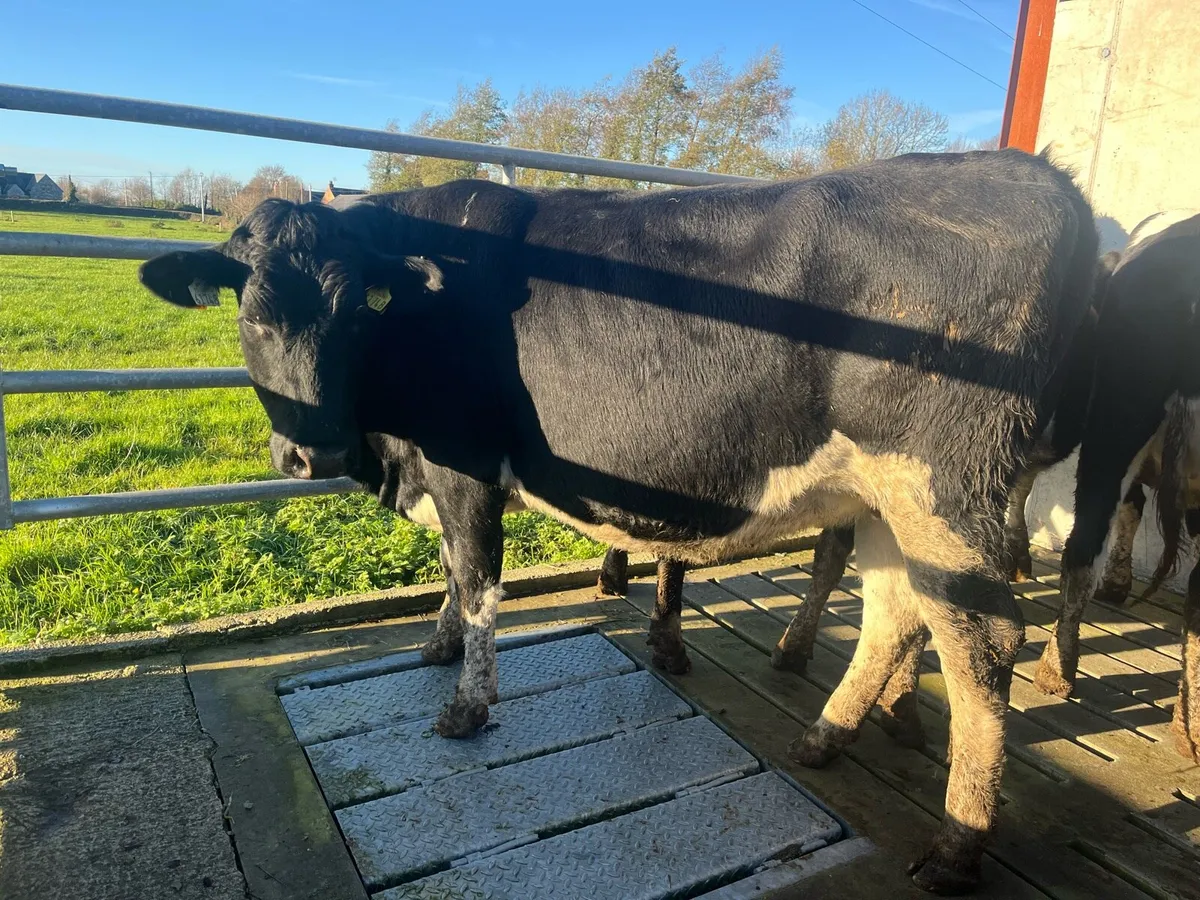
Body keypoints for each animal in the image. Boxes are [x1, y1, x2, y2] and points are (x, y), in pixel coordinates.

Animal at [138, 148, 1097, 892]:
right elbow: (449, 571)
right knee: (899, 612)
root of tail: (1040, 177)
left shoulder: (463, 462)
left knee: (980, 642)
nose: (314, 451)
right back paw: (826, 736)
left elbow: (476, 575)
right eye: (253, 316)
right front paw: (437, 646)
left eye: (351, 314)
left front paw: (467, 707)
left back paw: (957, 846)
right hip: (885, 496)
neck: (392, 452)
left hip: (942, 484)